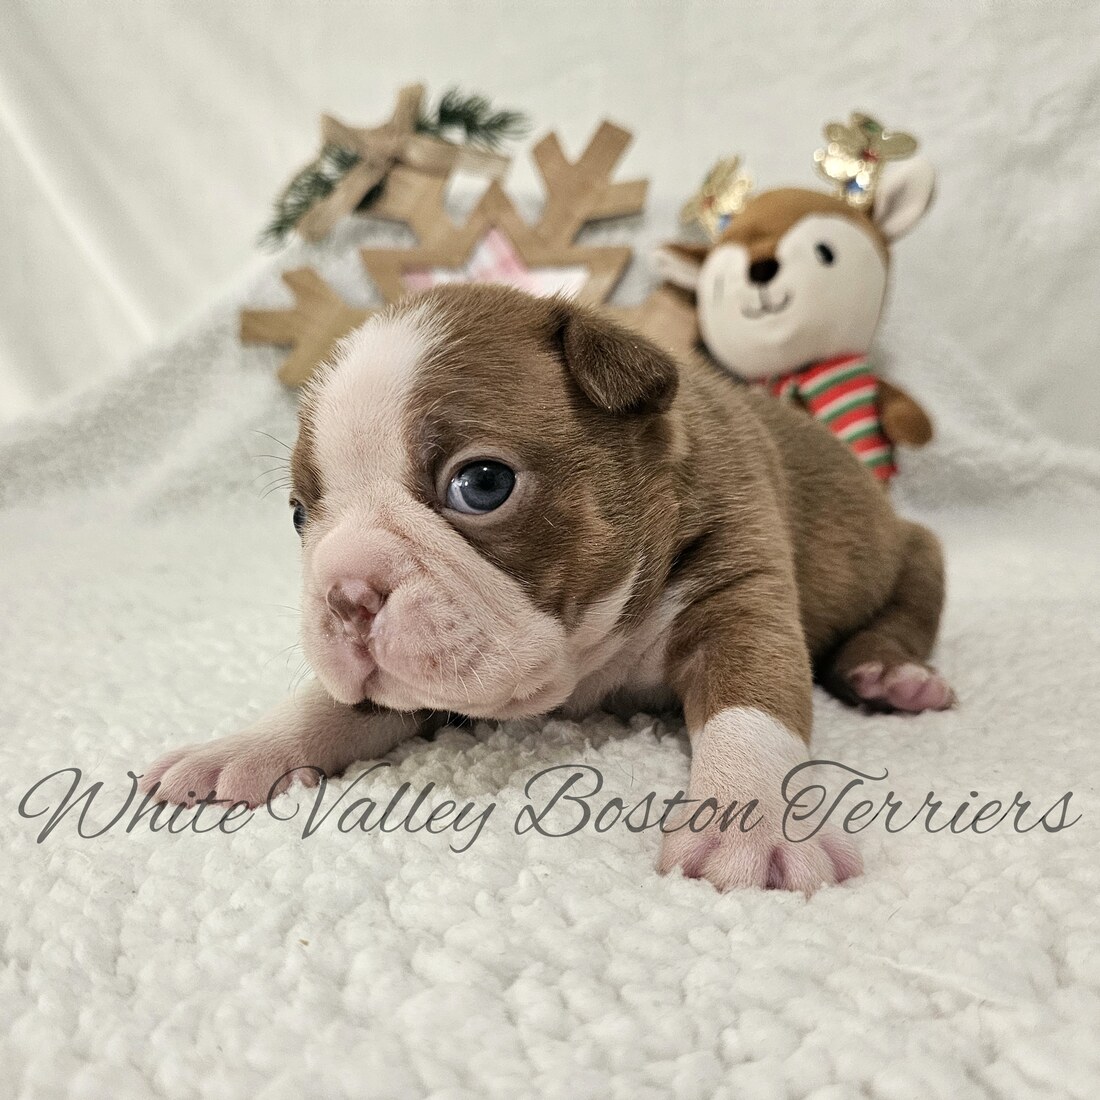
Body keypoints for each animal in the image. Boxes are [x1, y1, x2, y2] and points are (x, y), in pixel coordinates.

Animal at [143, 284, 953, 892]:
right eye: (298, 514)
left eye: (481, 483)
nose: (346, 590)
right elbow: (328, 704)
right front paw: (240, 746)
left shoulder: (739, 589)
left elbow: (753, 707)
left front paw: (755, 826)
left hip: (911, 551)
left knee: (912, 599)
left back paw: (892, 673)